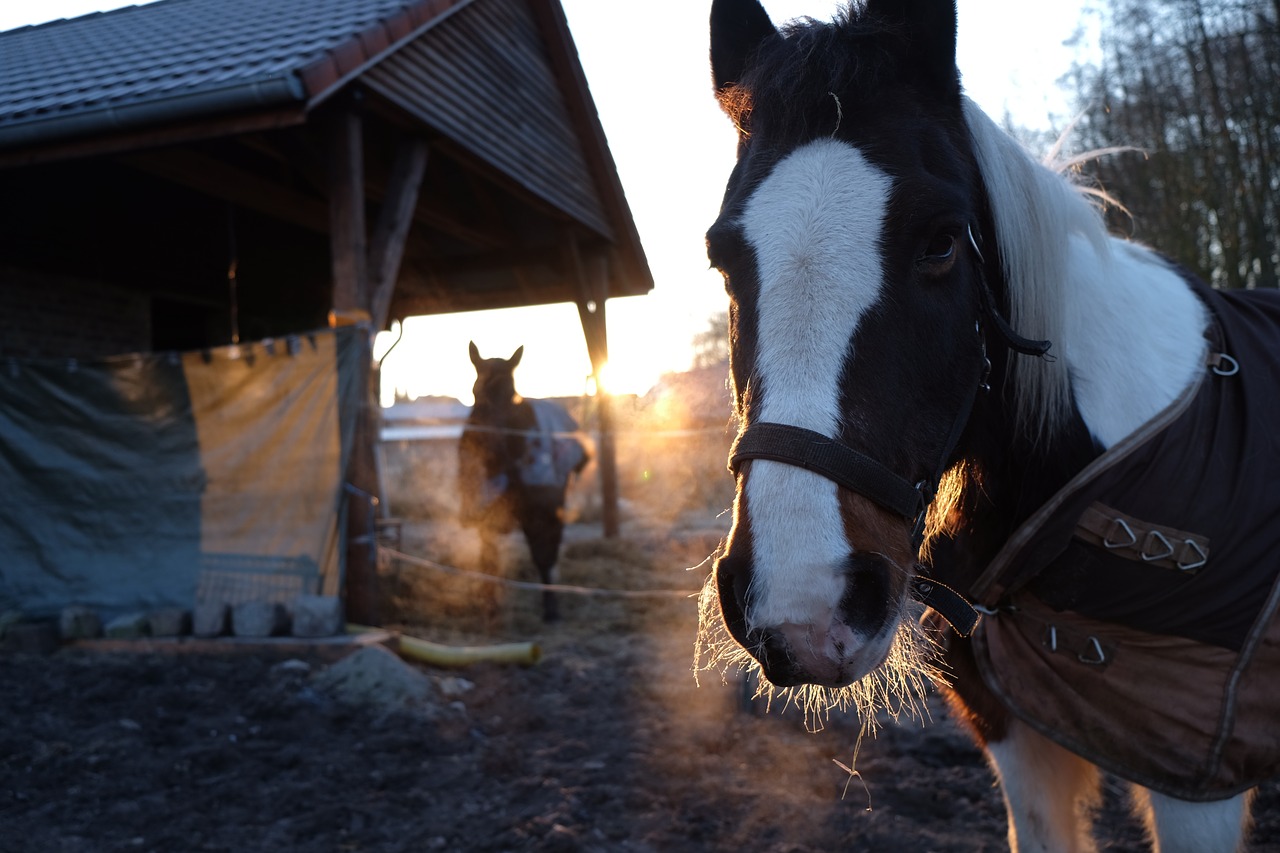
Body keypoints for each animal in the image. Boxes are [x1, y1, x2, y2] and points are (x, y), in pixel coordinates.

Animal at [460, 343, 588, 622]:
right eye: (475, 392)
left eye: (511, 394)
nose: (488, 447)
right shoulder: (486, 512)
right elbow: (488, 557)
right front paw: (489, 605)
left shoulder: (541, 511)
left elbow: (543, 555)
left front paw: (550, 607)